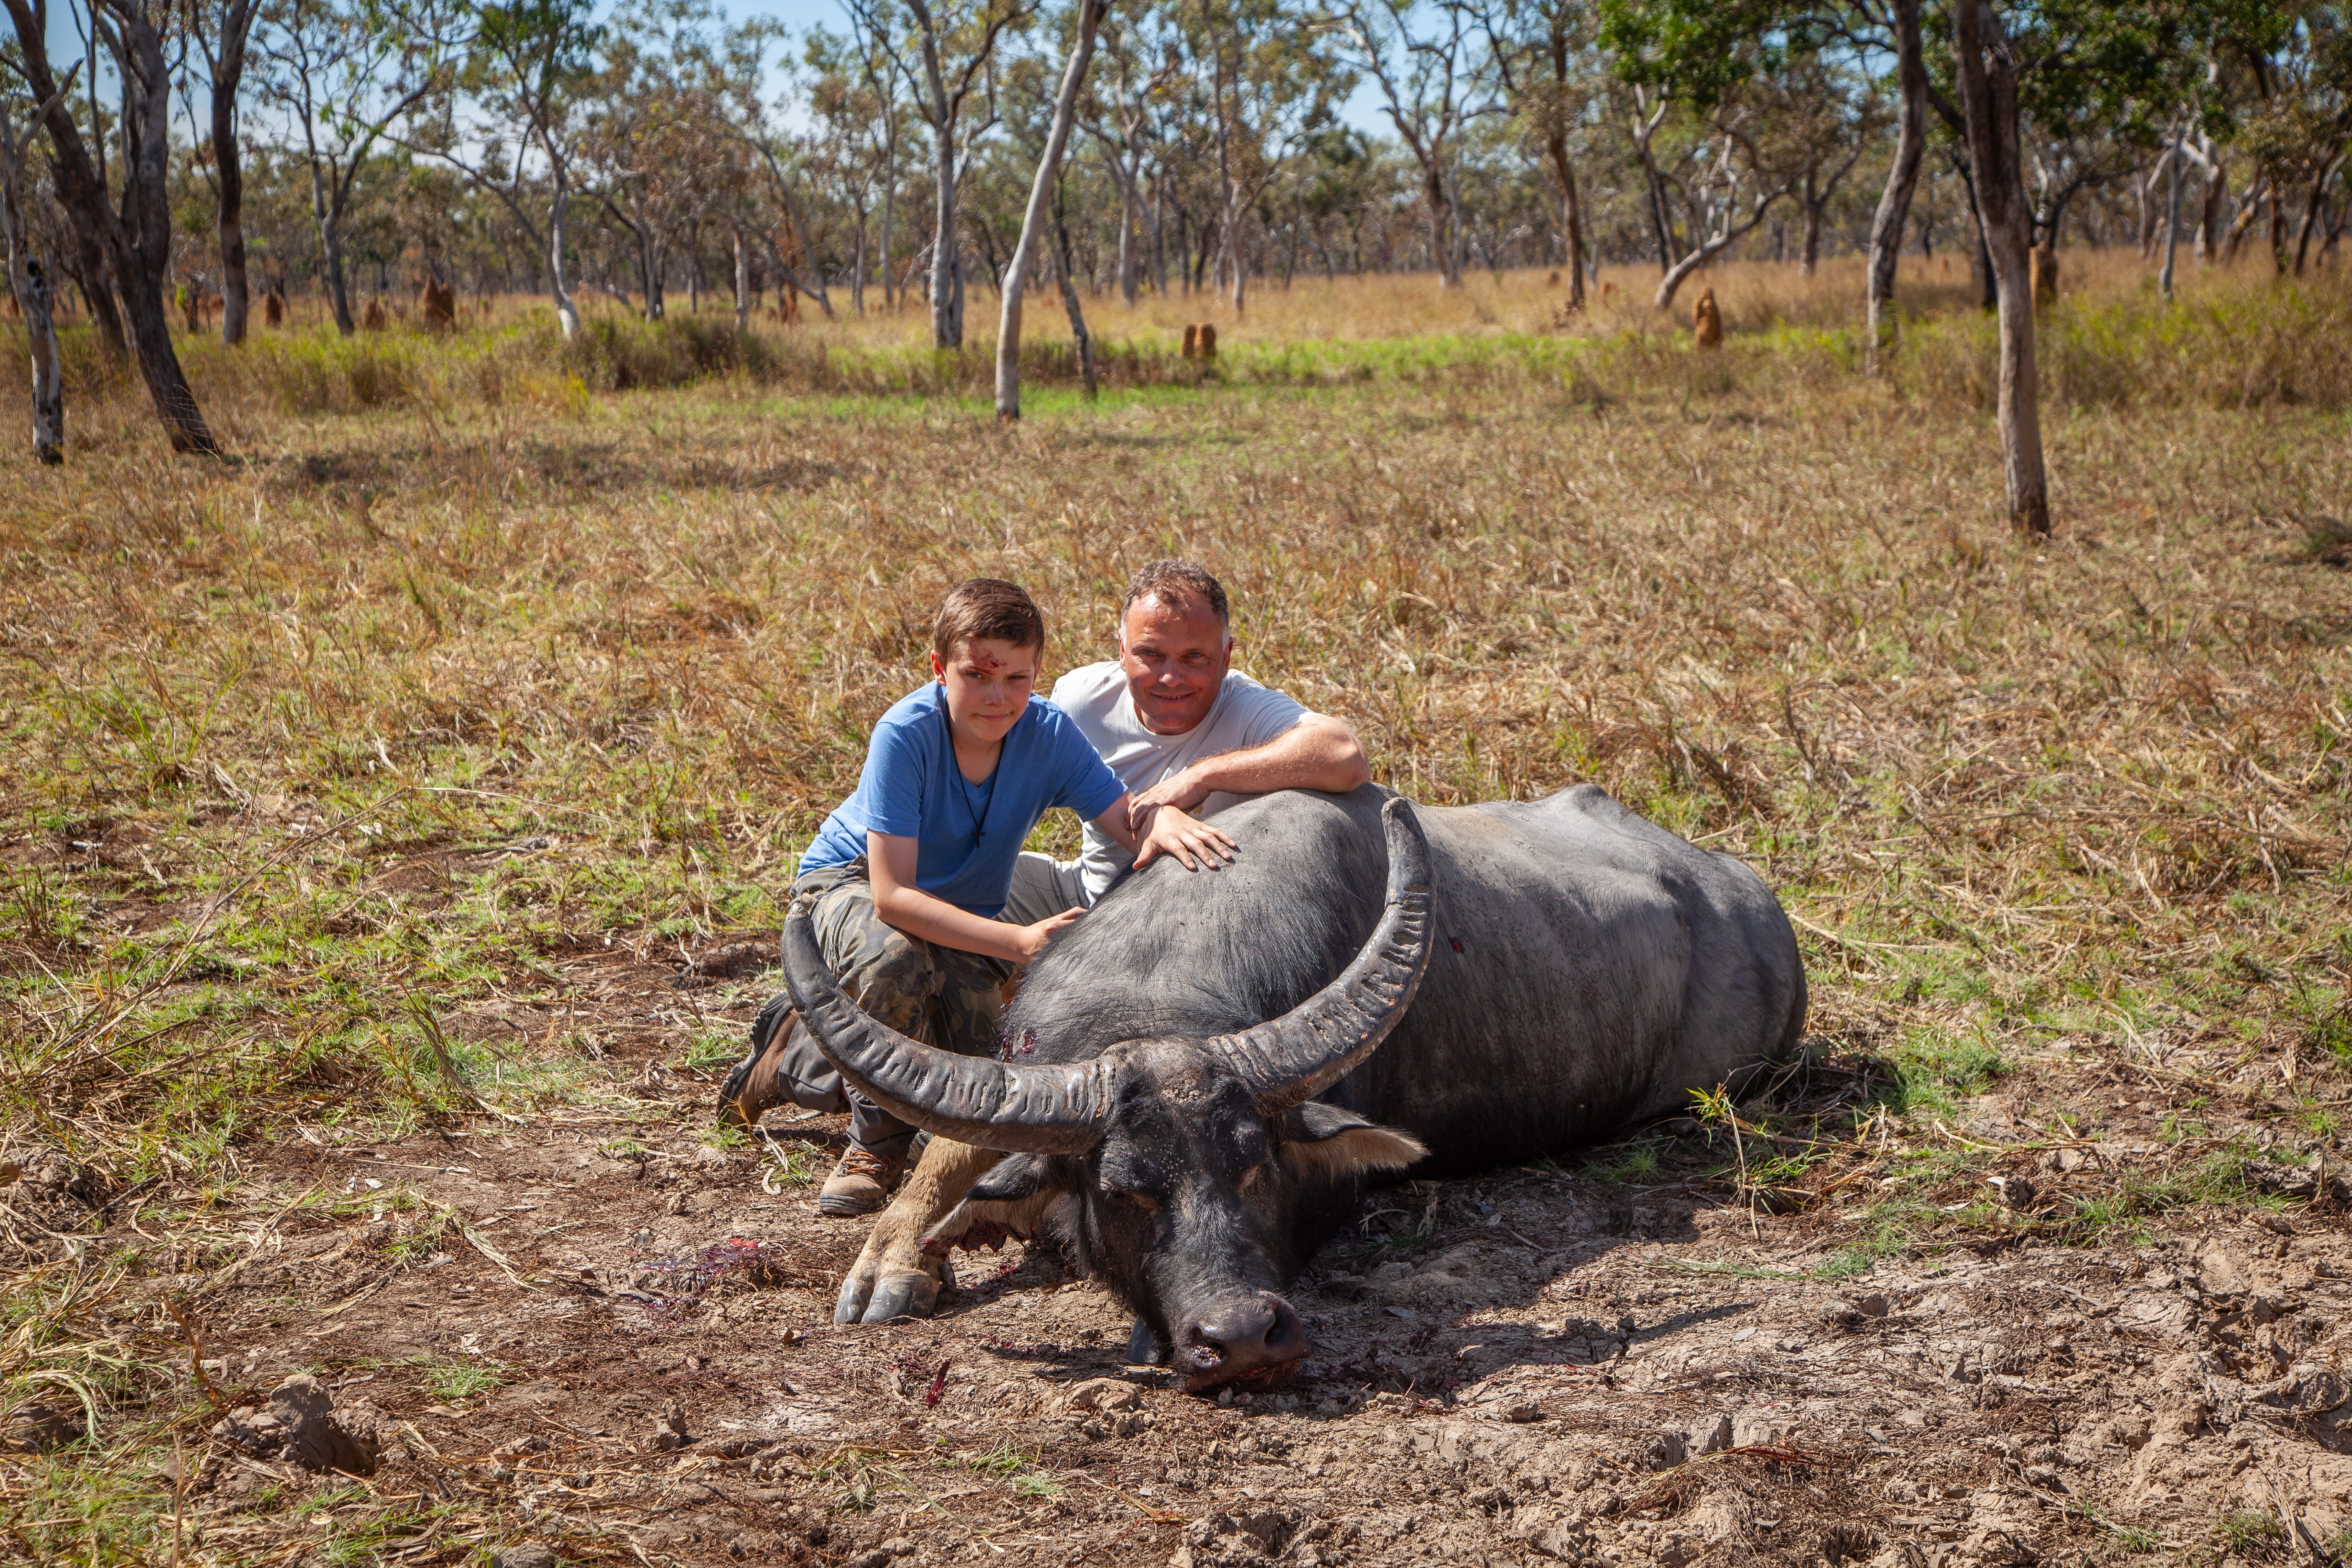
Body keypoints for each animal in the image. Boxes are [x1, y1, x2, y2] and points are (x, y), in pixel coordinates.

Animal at [783, 784, 1805, 1391]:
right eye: (1125, 1193)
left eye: (1258, 1167)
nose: (1240, 1337)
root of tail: (1748, 897)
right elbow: (951, 1153)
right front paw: (892, 1260)